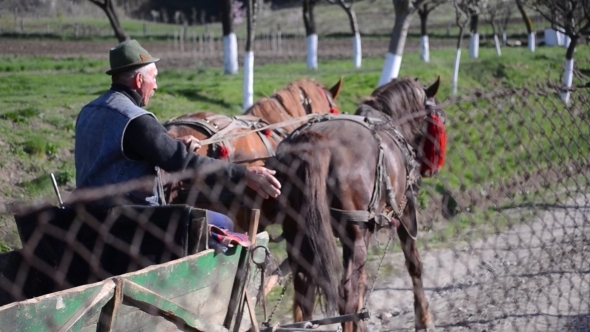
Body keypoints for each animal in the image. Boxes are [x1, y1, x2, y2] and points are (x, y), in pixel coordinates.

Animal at [264, 77, 448, 332]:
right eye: (439, 116)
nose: (433, 168)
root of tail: (316, 142)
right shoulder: (405, 210)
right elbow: (414, 265)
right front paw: (423, 318)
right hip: (357, 234)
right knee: (346, 295)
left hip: (297, 234)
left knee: (304, 295)